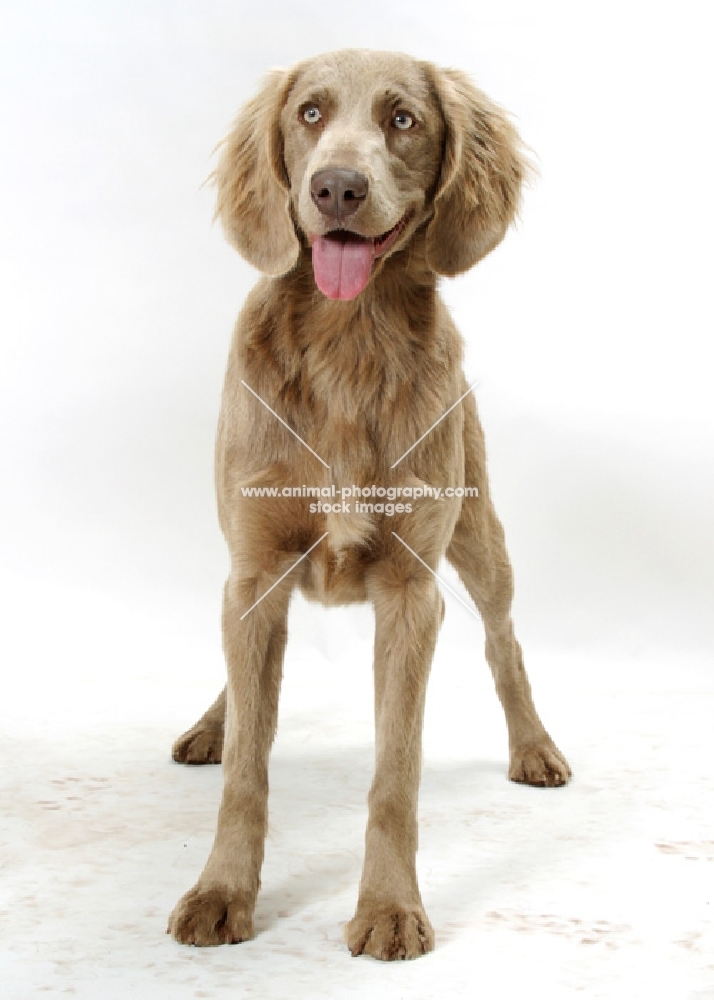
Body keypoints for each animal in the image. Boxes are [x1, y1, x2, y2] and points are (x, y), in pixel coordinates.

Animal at [165, 47, 568, 960]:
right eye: (309, 114)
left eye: (403, 119)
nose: (338, 188)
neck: (348, 344)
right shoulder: (254, 573)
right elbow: (247, 765)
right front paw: (222, 892)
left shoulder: (412, 592)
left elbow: (396, 771)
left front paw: (388, 907)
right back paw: (212, 722)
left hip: (481, 539)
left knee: (504, 641)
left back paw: (534, 746)